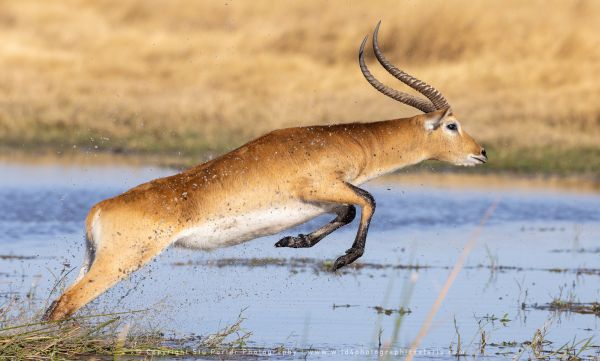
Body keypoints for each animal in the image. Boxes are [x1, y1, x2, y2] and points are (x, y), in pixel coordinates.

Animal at [45, 23, 488, 320]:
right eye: (452, 125)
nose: (482, 152)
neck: (339, 142)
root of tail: (98, 210)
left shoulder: (324, 199)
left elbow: (348, 210)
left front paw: (292, 241)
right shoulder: (324, 186)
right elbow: (368, 200)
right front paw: (343, 259)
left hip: (93, 260)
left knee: (56, 303)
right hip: (121, 262)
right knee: (65, 304)